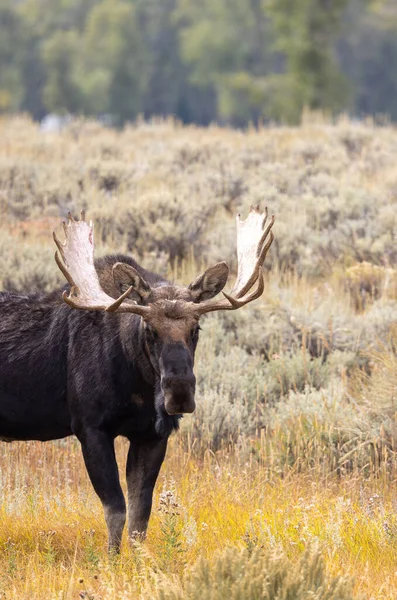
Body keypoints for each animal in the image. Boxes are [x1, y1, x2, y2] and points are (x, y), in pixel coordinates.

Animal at [0, 207, 272, 552]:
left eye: (196, 328)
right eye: (149, 329)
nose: (179, 393)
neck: (137, 389)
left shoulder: (152, 435)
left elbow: (141, 514)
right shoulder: (90, 427)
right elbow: (116, 509)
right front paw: (112, 559)